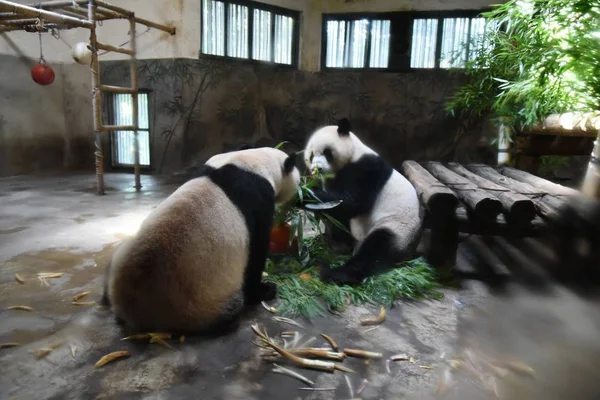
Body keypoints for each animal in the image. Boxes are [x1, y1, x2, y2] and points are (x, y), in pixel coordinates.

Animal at [101, 148, 304, 332]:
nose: (300, 193)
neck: (253, 162)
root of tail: (129, 307)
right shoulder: (259, 200)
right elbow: (256, 251)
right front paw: (264, 290)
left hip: (123, 252)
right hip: (197, 303)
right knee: (229, 309)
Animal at [302, 117, 424, 286]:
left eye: (327, 152)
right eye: (312, 155)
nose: (317, 168)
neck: (354, 154)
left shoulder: (366, 170)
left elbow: (351, 202)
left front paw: (301, 193)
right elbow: (336, 212)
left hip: (397, 227)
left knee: (376, 249)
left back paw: (336, 274)